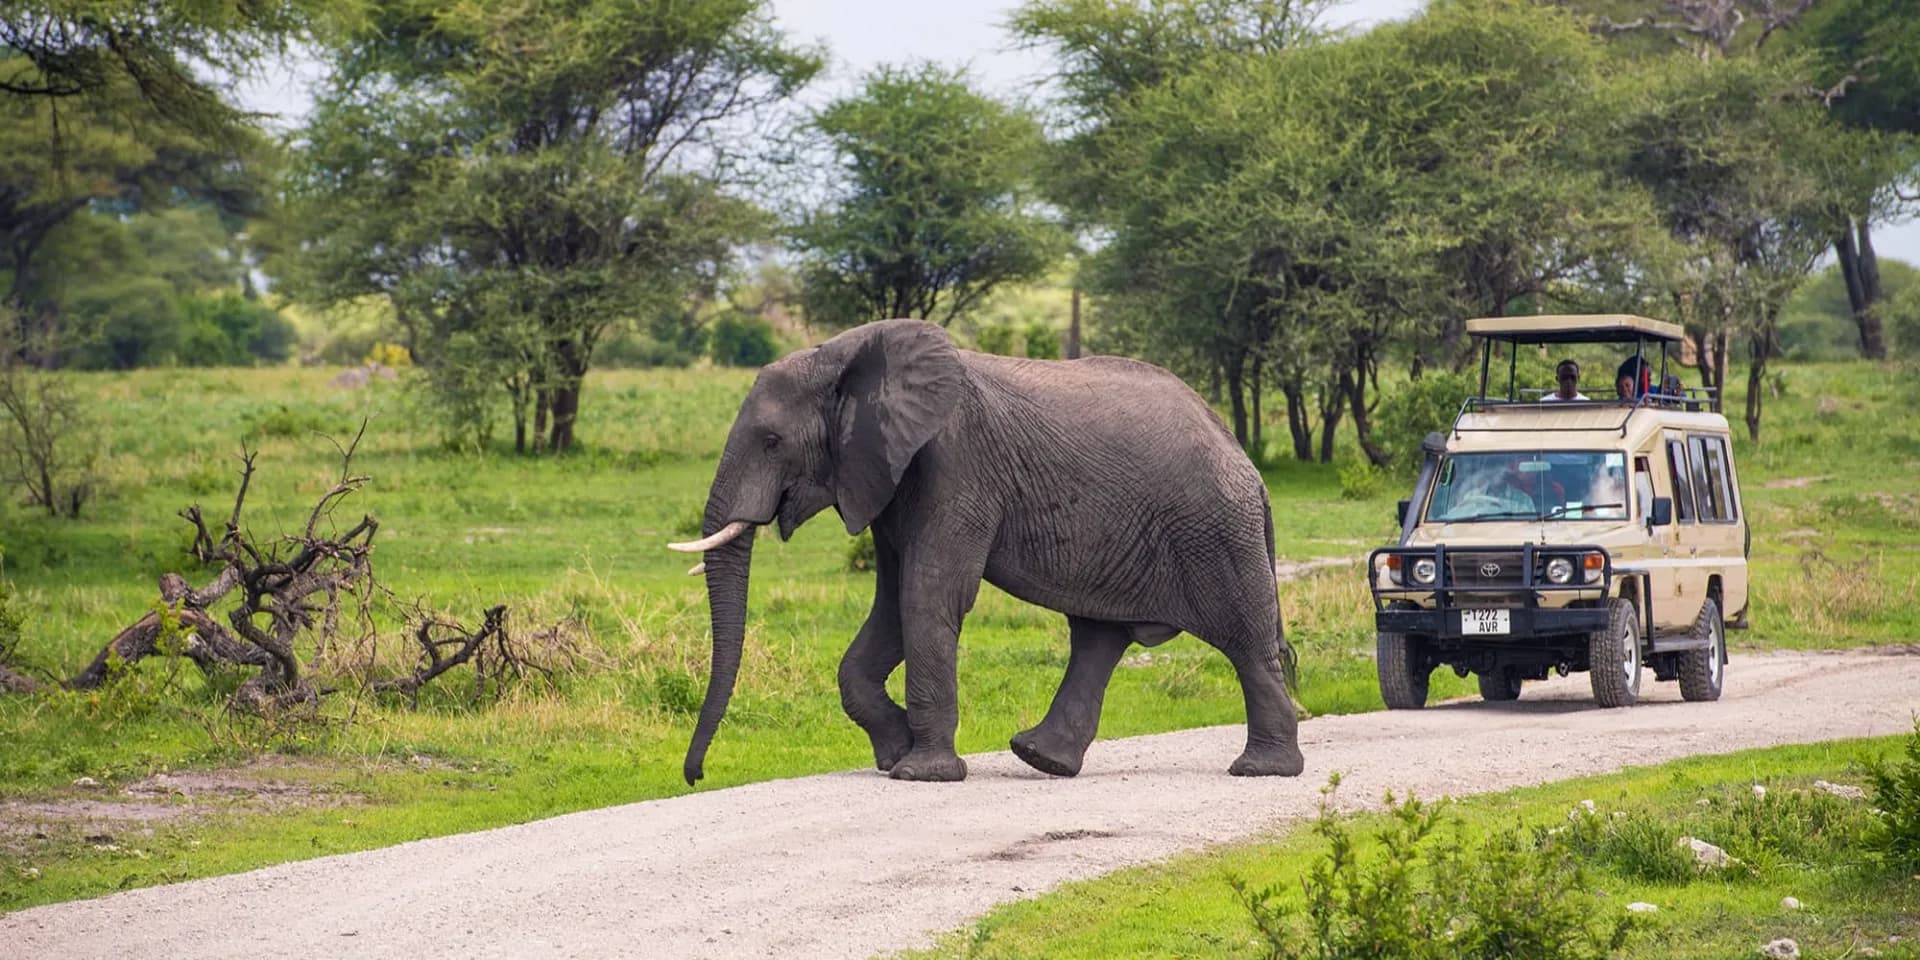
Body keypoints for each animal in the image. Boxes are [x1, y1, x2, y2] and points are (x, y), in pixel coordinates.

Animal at [669, 318, 1303, 784]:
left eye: (772, 441)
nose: (695, 776)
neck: (844, 357)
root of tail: (1246, 462)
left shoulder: (956, 466)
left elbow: (927, 597)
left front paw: (920, 775)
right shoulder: (889, 478)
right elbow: (892, 607)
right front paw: (894, 755)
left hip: (1216, 532)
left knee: (1244, 644)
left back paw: (1261, 770)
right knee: (1099, 638)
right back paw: (1041, 759)